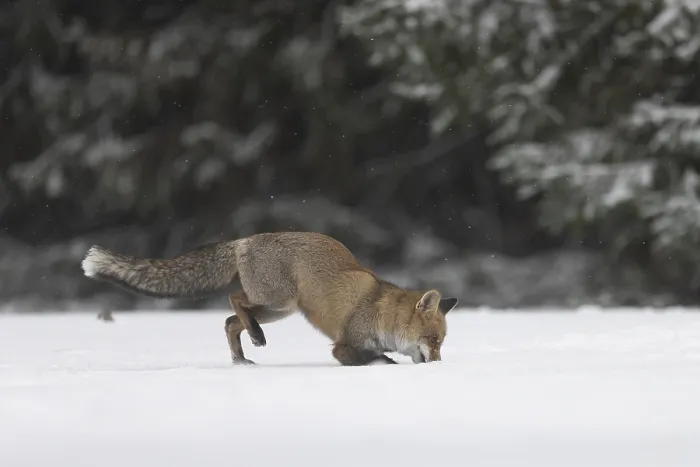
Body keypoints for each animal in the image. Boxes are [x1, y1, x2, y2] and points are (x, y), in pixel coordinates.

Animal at [81, 231, 458, 366]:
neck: (382, 315)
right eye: (433, 340)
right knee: (234, 300)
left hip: (278, 310)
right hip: (281, 301)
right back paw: (255, 338)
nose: (438, 365)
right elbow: (370, 360)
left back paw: (241, 357)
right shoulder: (344, 345)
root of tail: (244, 240)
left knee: (230, 321)